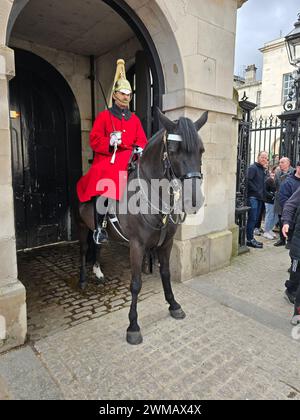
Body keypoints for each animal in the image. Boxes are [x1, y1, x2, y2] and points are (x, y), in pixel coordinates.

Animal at [77, 108, 207, 344]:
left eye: (201, 150)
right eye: (173, 151)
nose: (194, 200)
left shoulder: (166, 244)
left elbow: (165, 273)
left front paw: (173, 304)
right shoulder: (136, 246)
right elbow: (136, 283)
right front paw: (133, 326)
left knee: (97, 246)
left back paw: (98, 272)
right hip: (81, 226)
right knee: (83, 251)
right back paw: (82, 279)